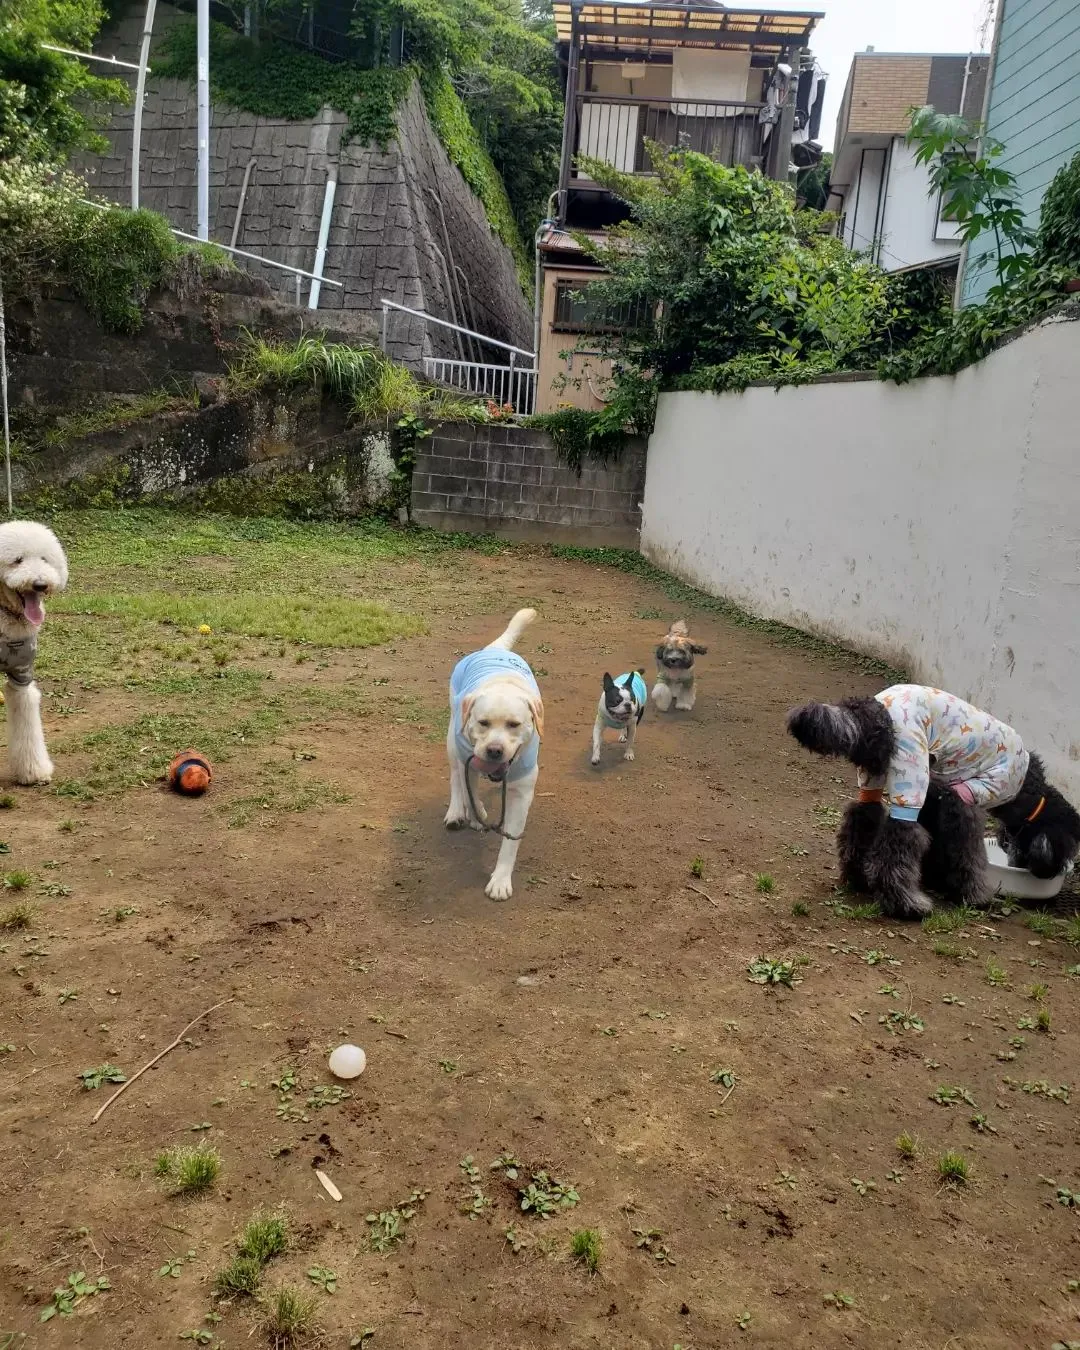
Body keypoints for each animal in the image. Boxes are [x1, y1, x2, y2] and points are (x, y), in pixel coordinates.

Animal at [442, 610, 545, 901]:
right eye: (484, 723)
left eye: (514, 724)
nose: (494, 750)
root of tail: (494, 649)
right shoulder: (468, 760)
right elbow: (469, 789)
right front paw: (475, 814)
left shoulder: (522, 794)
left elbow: (510, 841)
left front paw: (500, 880)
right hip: (452, 738)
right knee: (455, 776)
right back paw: (457, 811)